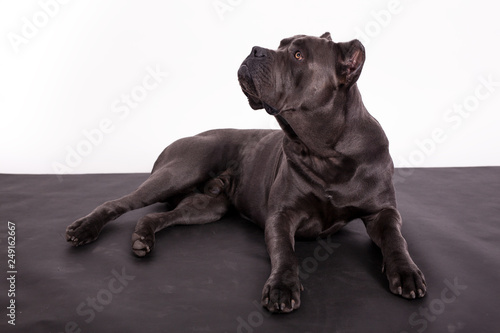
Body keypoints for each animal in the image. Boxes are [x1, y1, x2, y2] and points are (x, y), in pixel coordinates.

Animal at [65, 32, 426, 312]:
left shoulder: (382, 211)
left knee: (158, 216)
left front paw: (406, 272)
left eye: (298, 55)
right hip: (178, 171)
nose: (255, 50)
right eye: (280, 44)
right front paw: (282, 286)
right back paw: (84, 229)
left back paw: (143, 237)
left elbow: (395, 240)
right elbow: (285, 252)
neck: (325, 151)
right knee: (118, 203)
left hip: (207, 206)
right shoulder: (281, 215)